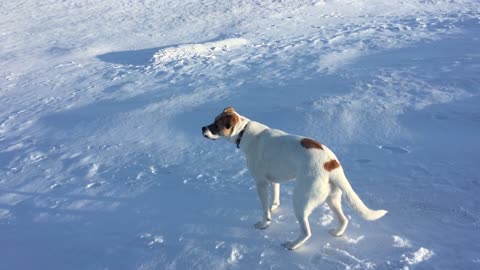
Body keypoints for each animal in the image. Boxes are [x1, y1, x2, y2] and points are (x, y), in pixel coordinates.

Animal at [201, 106, 388, 250]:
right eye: (213, 120)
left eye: (216, 125)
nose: (202, 128)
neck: (244, 132)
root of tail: (332, 164)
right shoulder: (274, 180)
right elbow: (274, 199)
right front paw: (274, 207)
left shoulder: (261, 183)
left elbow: (264, 210)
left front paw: (264, 224)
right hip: (332, 198)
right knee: (344, 219)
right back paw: (336, 232)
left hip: (301, 200)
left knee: (306, 232)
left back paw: (292, 245)